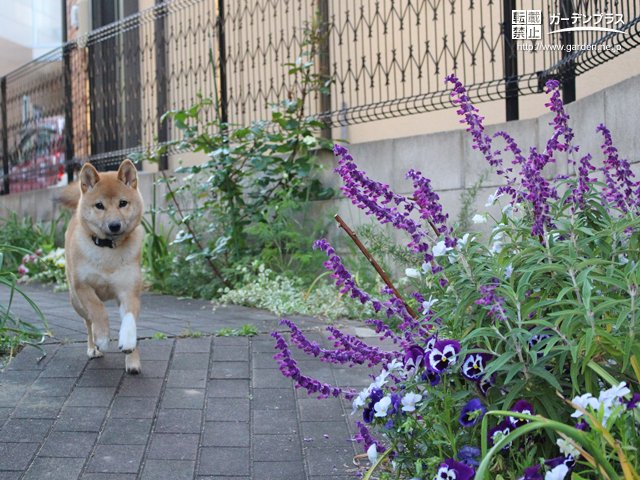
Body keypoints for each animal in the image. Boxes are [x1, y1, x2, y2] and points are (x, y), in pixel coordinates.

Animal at [58, 159, 144, 374]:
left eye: (123, 203)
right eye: (99, 206)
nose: (114, 225)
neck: (108, 251)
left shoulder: (129, 290)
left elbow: (129, 319)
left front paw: (129, 345)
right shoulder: (82, 287)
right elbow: (98, 310)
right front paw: (103, 337)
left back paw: (132, 360)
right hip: (75, 301)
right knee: (88, 323)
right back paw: (93, 347)